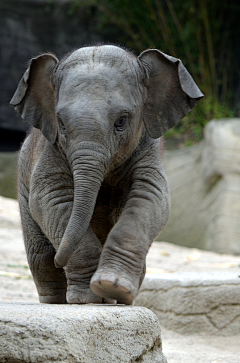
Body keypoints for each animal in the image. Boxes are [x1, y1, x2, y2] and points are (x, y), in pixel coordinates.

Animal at [10, 46, 202, 308]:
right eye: (61, 123)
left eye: (121, 121)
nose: (61, 259)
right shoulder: (50, 150)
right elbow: (51, 199)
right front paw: (85, 299)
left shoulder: (147, 148)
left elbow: (150, 199)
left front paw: (113, 286)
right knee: (41, 254)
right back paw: (58, 301)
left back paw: (114, 300)